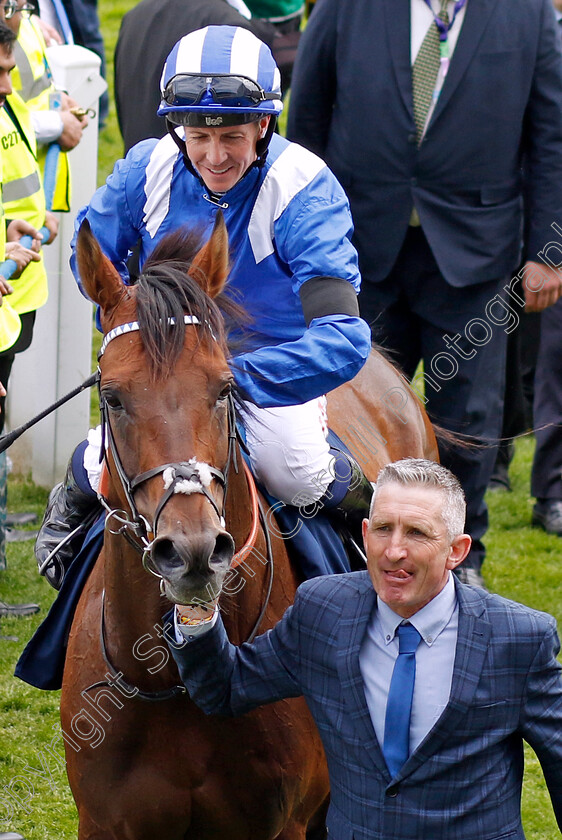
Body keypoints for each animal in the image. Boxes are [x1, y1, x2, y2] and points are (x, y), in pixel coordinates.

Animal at [62, 218, 438, 840]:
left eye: (224, 388)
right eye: (111, 396)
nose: (191, 550)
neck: (172, 680)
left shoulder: (282, 823)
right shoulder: (102, 822)